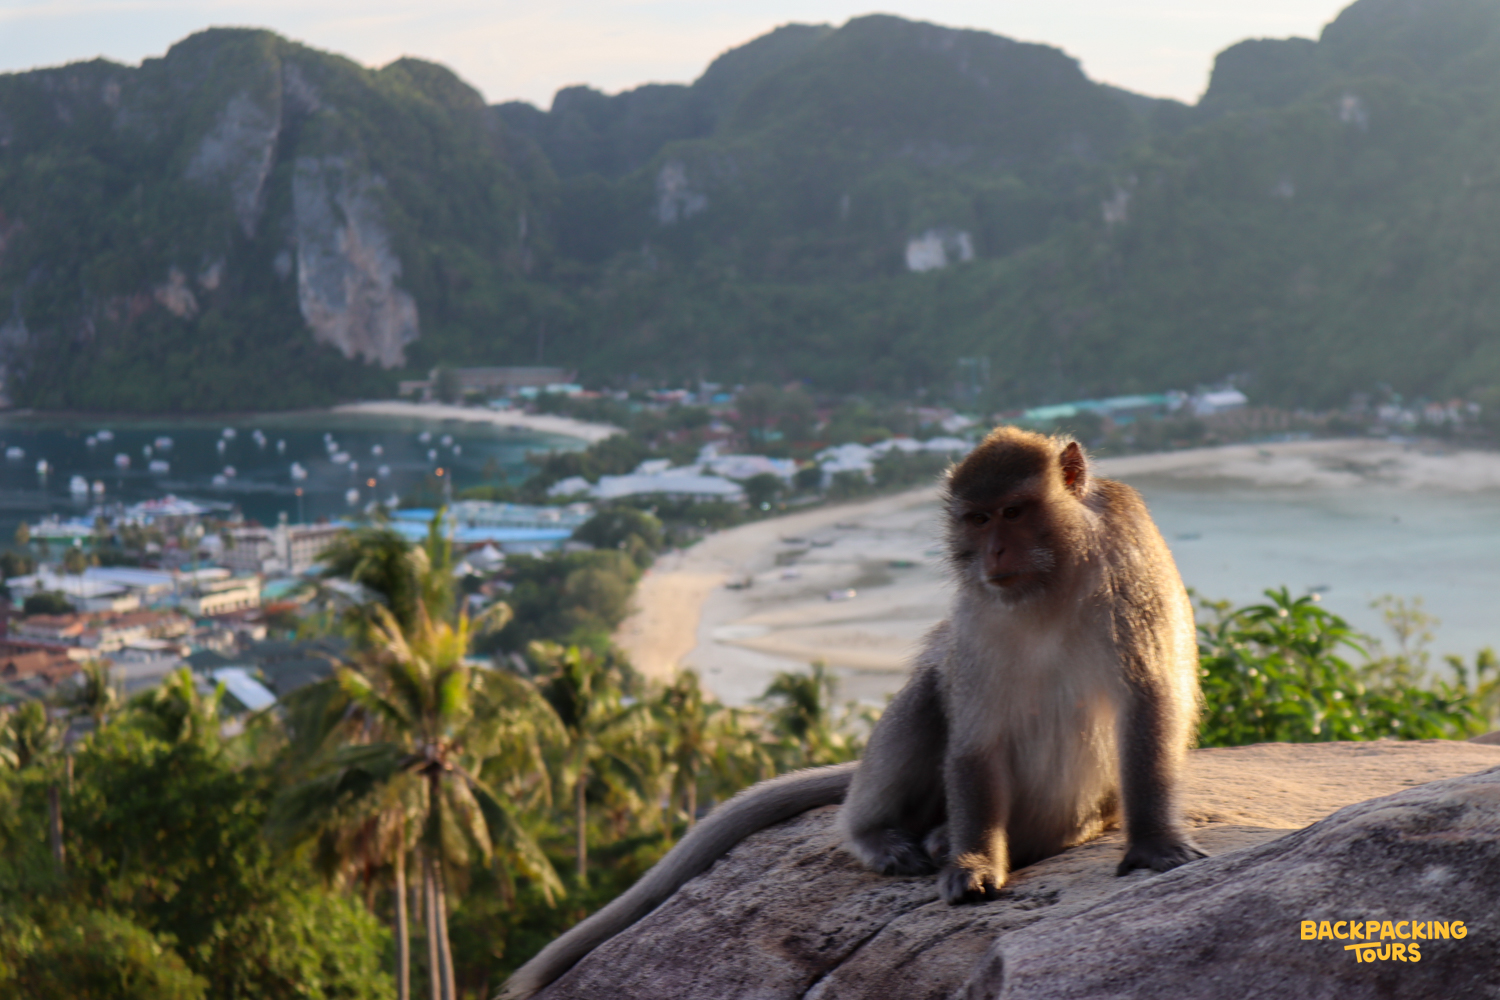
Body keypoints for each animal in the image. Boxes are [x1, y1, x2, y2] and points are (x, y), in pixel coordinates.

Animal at [502, 427, 1204, 999]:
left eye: (1014, 512)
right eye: (977, 519)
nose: (995, 554)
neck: (1051, 580)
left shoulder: (1127, 567)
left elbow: (1147, 698)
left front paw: (1151, 846)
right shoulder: (978, 611)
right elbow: (975, 736)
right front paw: (975, 861)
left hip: (1067, 810)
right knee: (928, 696)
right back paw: (888, 835)